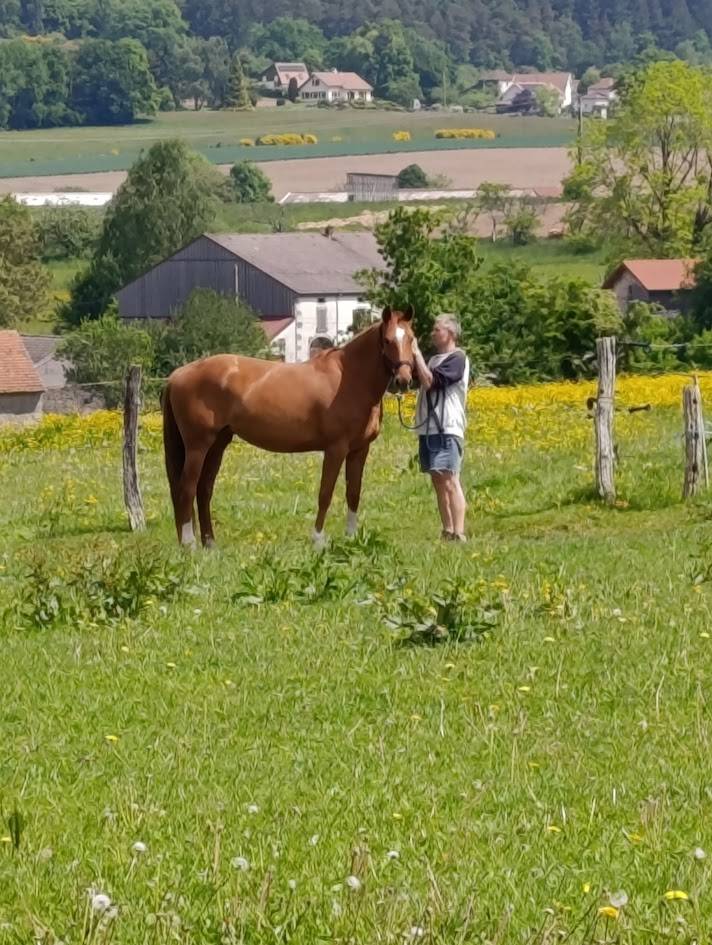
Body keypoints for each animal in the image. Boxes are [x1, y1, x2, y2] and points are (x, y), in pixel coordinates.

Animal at [162, 306, 416, 549]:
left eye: (411, 338)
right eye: (388, 341)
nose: (404, 380)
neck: (350, 378)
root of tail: (177, 375)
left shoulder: (359, 450)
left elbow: (353, 493)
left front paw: (351, 538)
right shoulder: (336, 449)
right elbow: (325, 493)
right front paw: (318, 540)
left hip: (217, 444)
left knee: (204, 490)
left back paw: (210, 543)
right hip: (198, 446)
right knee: (186, 489)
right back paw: (190, 544)